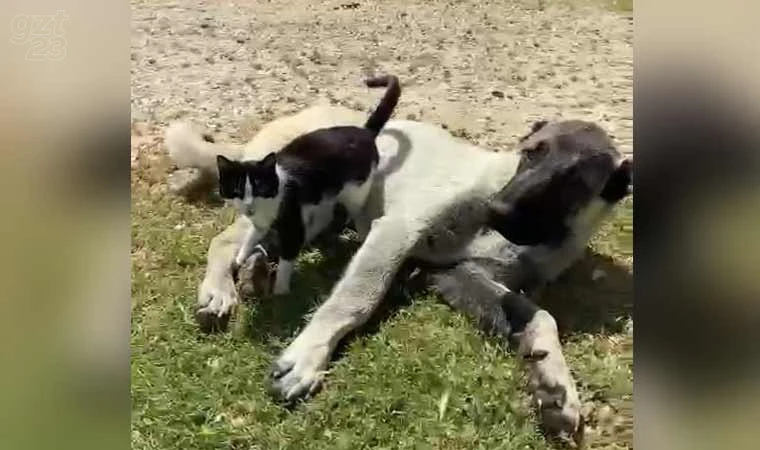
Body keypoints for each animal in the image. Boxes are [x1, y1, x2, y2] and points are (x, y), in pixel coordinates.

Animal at [215, 74, 400, 296]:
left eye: (260, 188)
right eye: (237, 191)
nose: (250, 207)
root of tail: (364, 131)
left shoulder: (291, 221)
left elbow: (287, 257)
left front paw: (280, 291)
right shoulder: (262, 222)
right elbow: (252, 235)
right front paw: (241, 256)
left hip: (355, 190)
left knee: (354, 213)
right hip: (324, 193)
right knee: (324, 215)